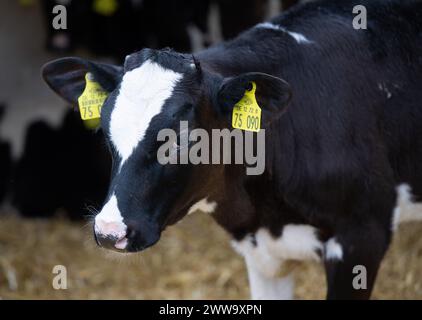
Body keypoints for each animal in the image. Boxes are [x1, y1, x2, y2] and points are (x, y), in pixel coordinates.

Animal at [42, 0, 422, 300]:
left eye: (181, 139)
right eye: (106, 134)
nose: (109, 232)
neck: (267, 210)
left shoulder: (362, 234)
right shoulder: (262, 253)